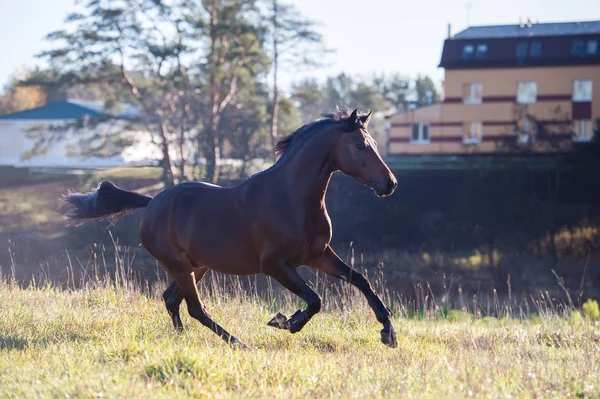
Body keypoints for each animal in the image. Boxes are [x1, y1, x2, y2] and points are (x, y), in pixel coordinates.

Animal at [63, 108, 398, 350]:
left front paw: (388, 333)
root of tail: (152, 202)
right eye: (360, 145)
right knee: (195, 307)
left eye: (374, 144)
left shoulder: (318, 255)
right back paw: (239, 343)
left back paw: (183, 339)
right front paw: (284, 322)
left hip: (197, 266)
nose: (390, 184)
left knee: (171, 299)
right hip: (180, 265)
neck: (291, 199)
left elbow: (361, 280)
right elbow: (314, 299)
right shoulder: (275, 265)